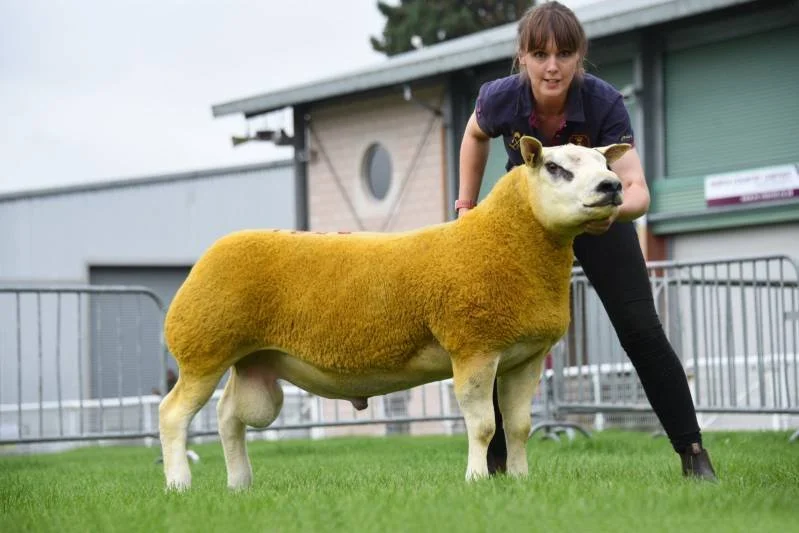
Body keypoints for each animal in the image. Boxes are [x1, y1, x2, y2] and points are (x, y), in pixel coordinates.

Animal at [158, 136, 631, 491]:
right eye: (555, 167)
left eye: (603, 162)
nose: (612, 186)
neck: (504, 241)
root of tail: (212, 252)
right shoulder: (473, 347)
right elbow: (482, 426)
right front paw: (477, 479)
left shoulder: (525, 357)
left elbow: (517, 426)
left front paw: (518, 479)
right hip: (204, 351)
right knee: (173, 415)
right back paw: (179, 483)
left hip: (252, 360)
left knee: (228, 418)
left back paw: (239, 483)